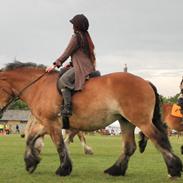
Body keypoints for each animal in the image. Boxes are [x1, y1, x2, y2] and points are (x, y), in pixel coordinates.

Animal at [0, 62, 182, 178]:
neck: (39, 87)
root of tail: (145, 81)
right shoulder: (48, 123)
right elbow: (30, 138)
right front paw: (31, 162)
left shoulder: (52, 123)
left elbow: (59, 145)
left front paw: (63, 169)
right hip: (126, 122)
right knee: (129, 147)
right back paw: (115, 170)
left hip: (141, 122)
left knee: (159, 139)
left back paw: (173, 169)